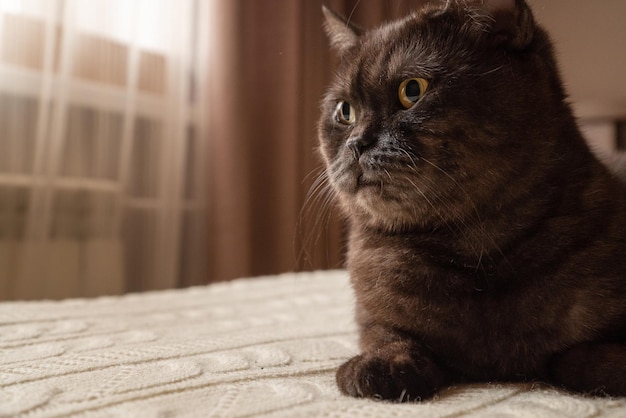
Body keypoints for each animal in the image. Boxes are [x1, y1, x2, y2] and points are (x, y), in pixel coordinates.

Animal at [320, 0, 624, 402]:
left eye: (412, 90)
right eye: (345, 111)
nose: (357, 143)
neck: (474, 247)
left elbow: (574, 358)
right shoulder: (374, 312)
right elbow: (389, 335)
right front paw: (380, 366)